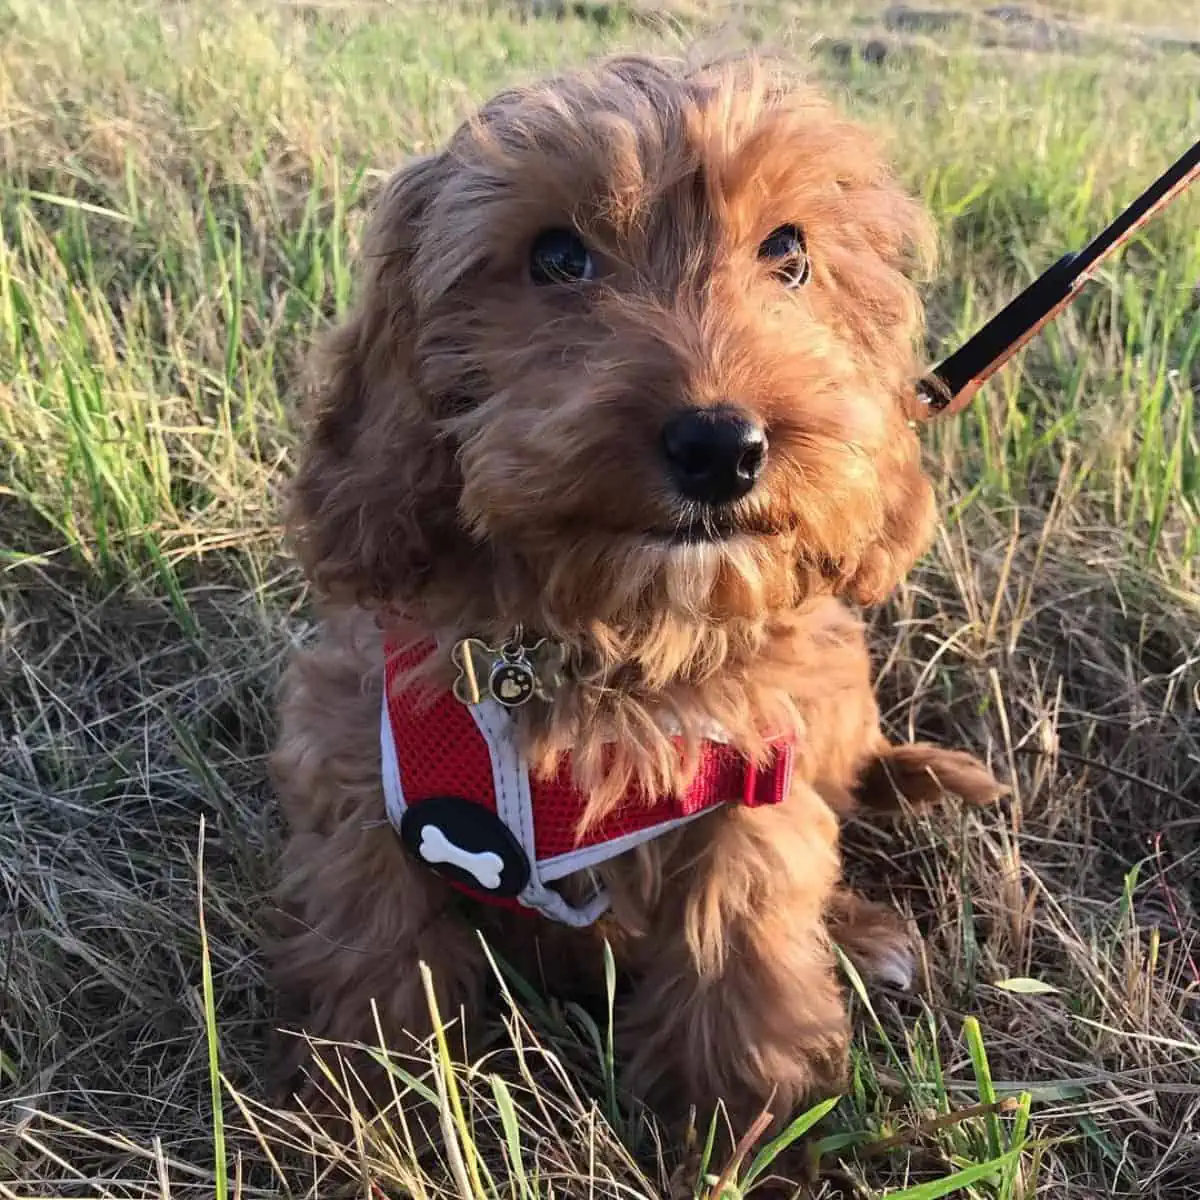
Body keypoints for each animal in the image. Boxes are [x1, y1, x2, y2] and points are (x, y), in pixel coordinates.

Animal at [274, 56, 1003, 1137]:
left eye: (787, 252)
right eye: (556, 255)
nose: (721, 446)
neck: (617, 639)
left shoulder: (753, 784)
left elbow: (744, 965)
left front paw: (746, 1137)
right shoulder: (361, 771)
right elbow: (377, 956)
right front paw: (362, 1114)